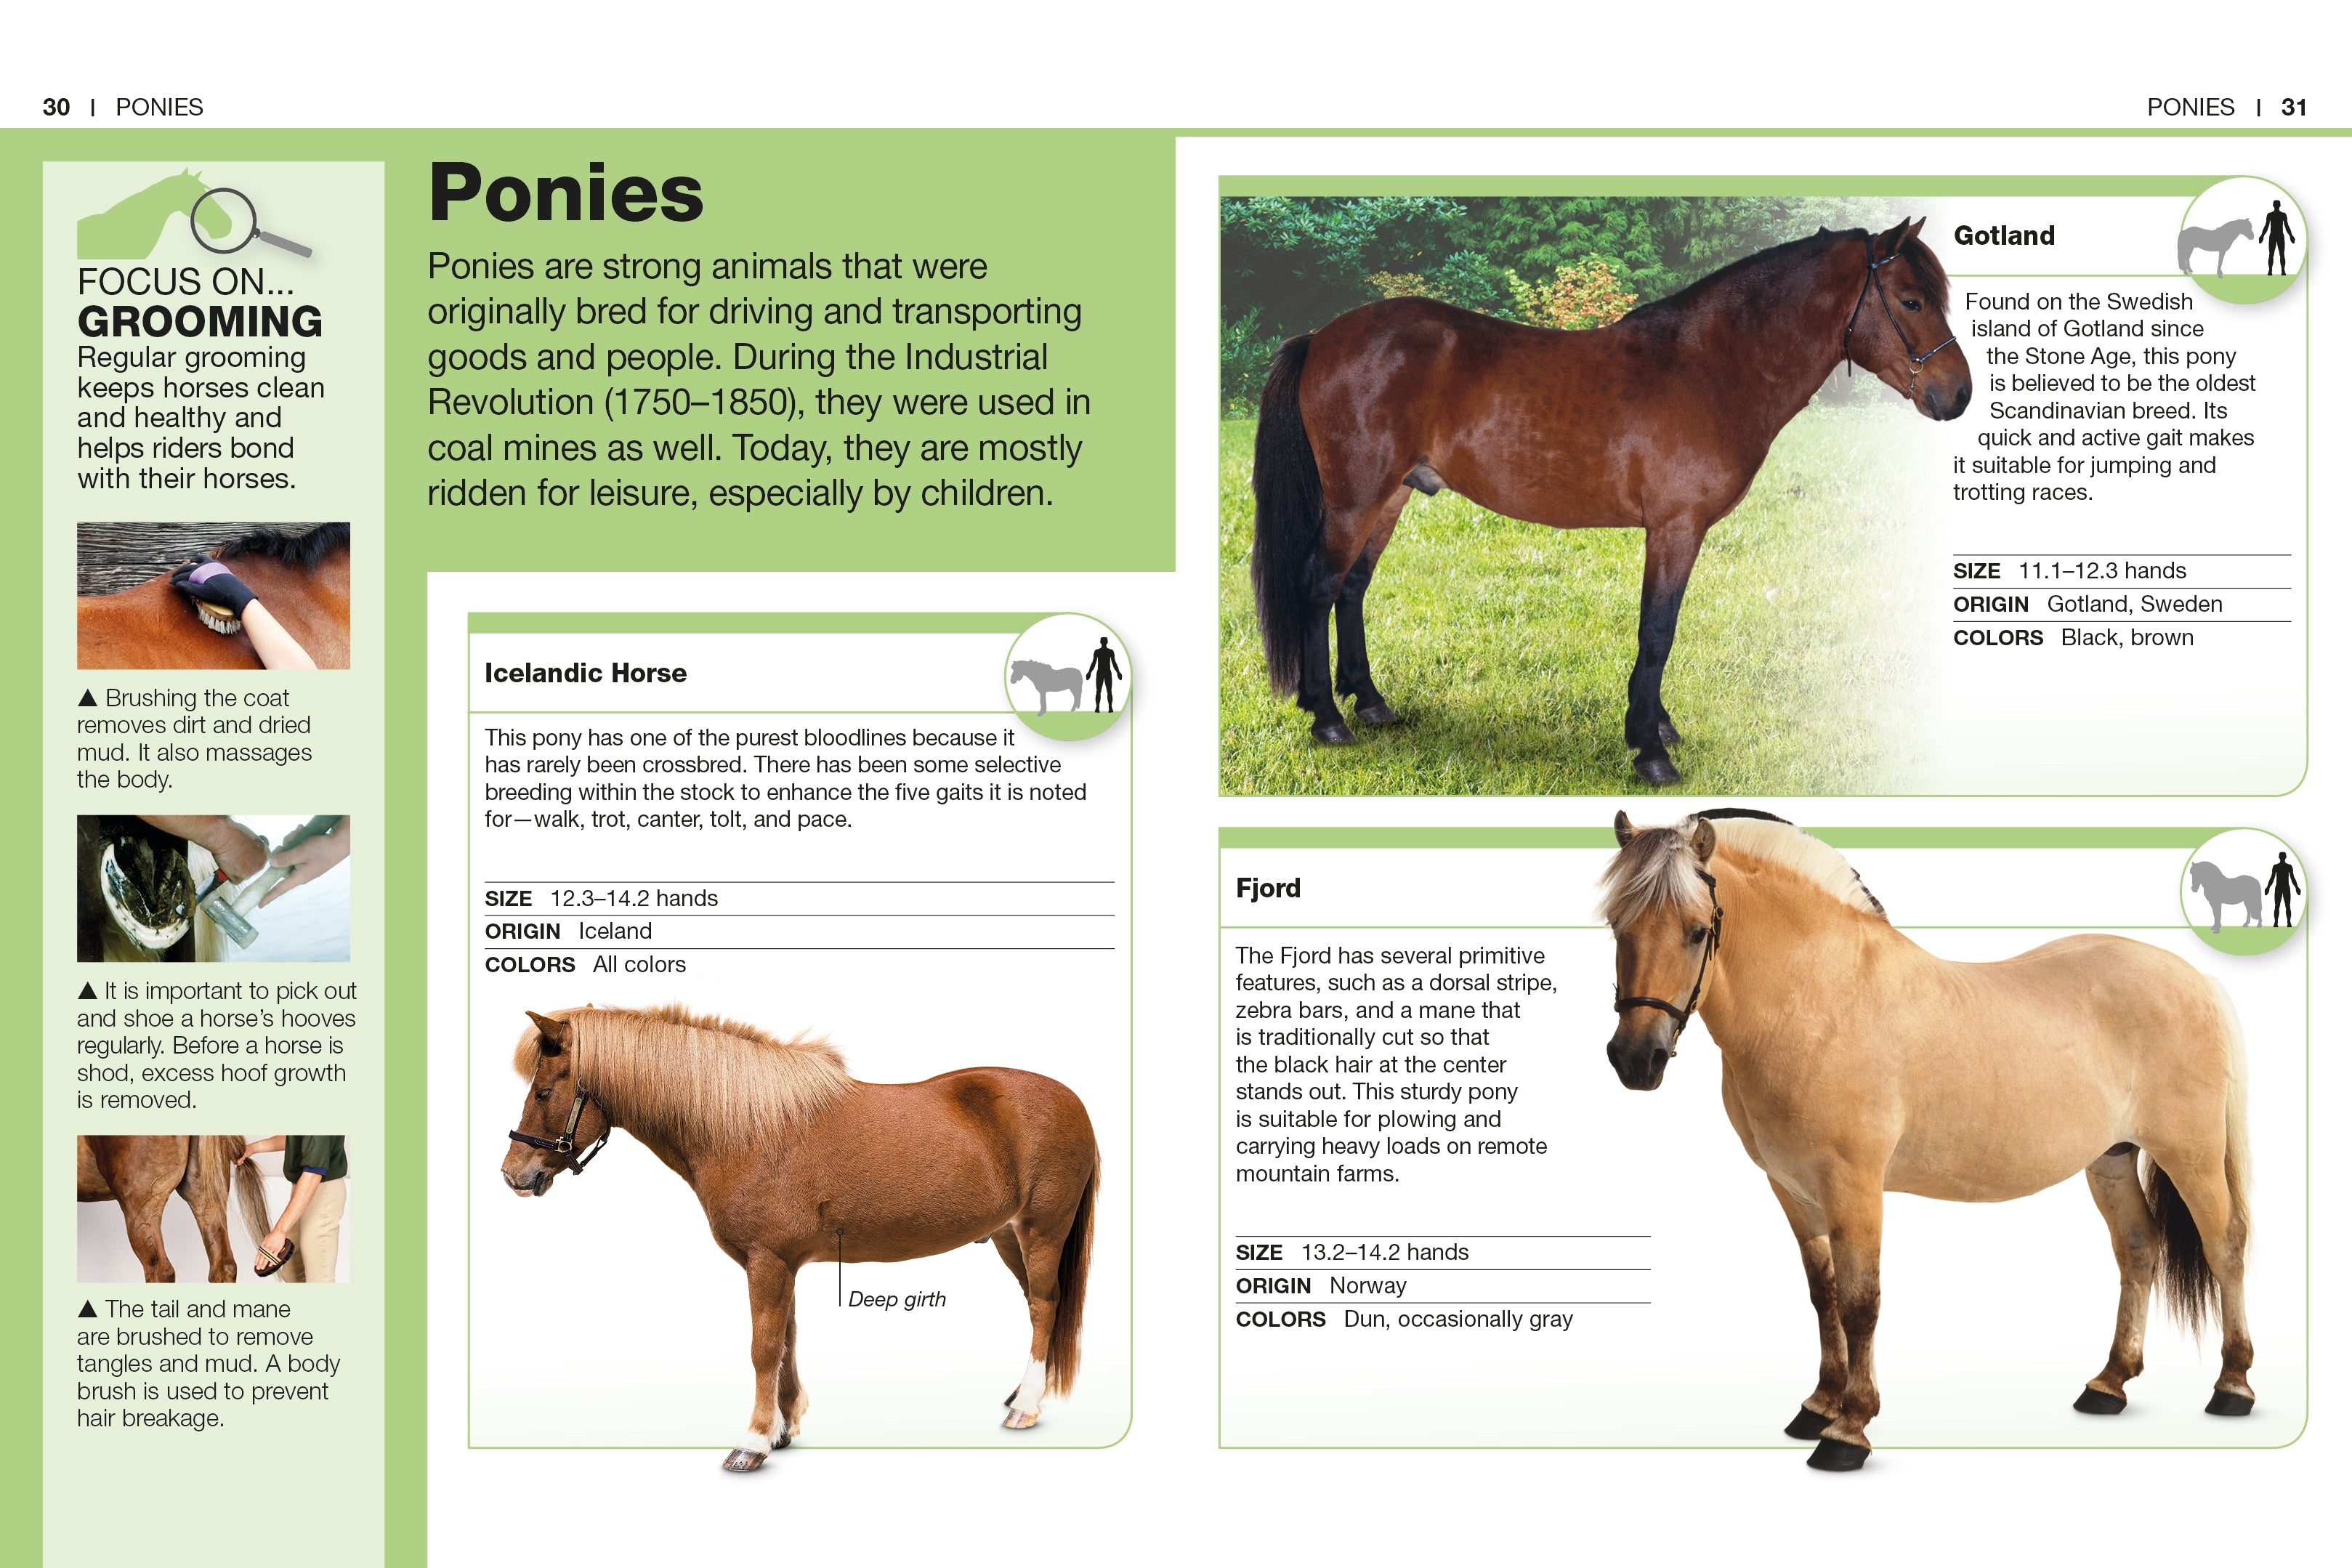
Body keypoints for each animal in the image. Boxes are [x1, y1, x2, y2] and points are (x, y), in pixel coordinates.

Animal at [500, 1005, 1098, 1471]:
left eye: (544, 1090)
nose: (514, 1175)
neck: (747, 1128)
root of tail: (1074, 1103)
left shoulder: (767, 1261)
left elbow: (763, 1348)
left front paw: (752, 1443)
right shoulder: (779, 1263)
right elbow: (786, 1340)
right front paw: (784, 1429)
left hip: (1043, 1230)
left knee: (1045, 1304)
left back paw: (1025, 1408)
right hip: (1007, 1236)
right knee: (1034, 1305)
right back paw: (1021, 1392)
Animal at [1250, 220, 1970, 785]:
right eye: (1911, 299)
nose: (1957, 394)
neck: (1710, 366)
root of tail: (1322, 336)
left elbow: (1660, 634)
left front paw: (1655, 725)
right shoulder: (1675, 528)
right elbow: (1657, 632)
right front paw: (1650, 751)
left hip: (1390, 497)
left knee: (1352, 588)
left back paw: (1370, 702)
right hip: (1356, 499)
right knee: (1320, 585)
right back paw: (1327, 719)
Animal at [1598, 811, 2253, 1469]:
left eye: (1696, 931)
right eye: (1615, 925)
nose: (1635, 1059)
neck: (1817, 998)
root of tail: (2196, 979)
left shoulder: (1853, 1185)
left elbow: (1860, 1302)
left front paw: (1848, 1429)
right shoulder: (1794, 1190)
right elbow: (1823, 1295)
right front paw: (1818, 1406)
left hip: (2190, 1156)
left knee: (2224, 1246)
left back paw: (2232, 1387)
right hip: (2111, 1159)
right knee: (2137, 1249)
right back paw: (2108, 1384)